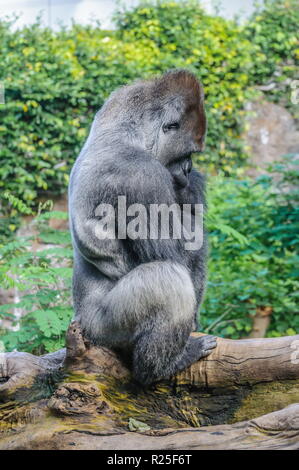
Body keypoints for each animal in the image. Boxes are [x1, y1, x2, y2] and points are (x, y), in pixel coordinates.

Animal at [69, 70, 217, 386]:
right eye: (186, 153)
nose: (188, 169)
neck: (125, 133)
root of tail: (80, 322)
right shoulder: (142, 174)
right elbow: (177, 256)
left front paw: (192, 187)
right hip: (100, 330)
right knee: (168, 280)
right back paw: (161, 368)